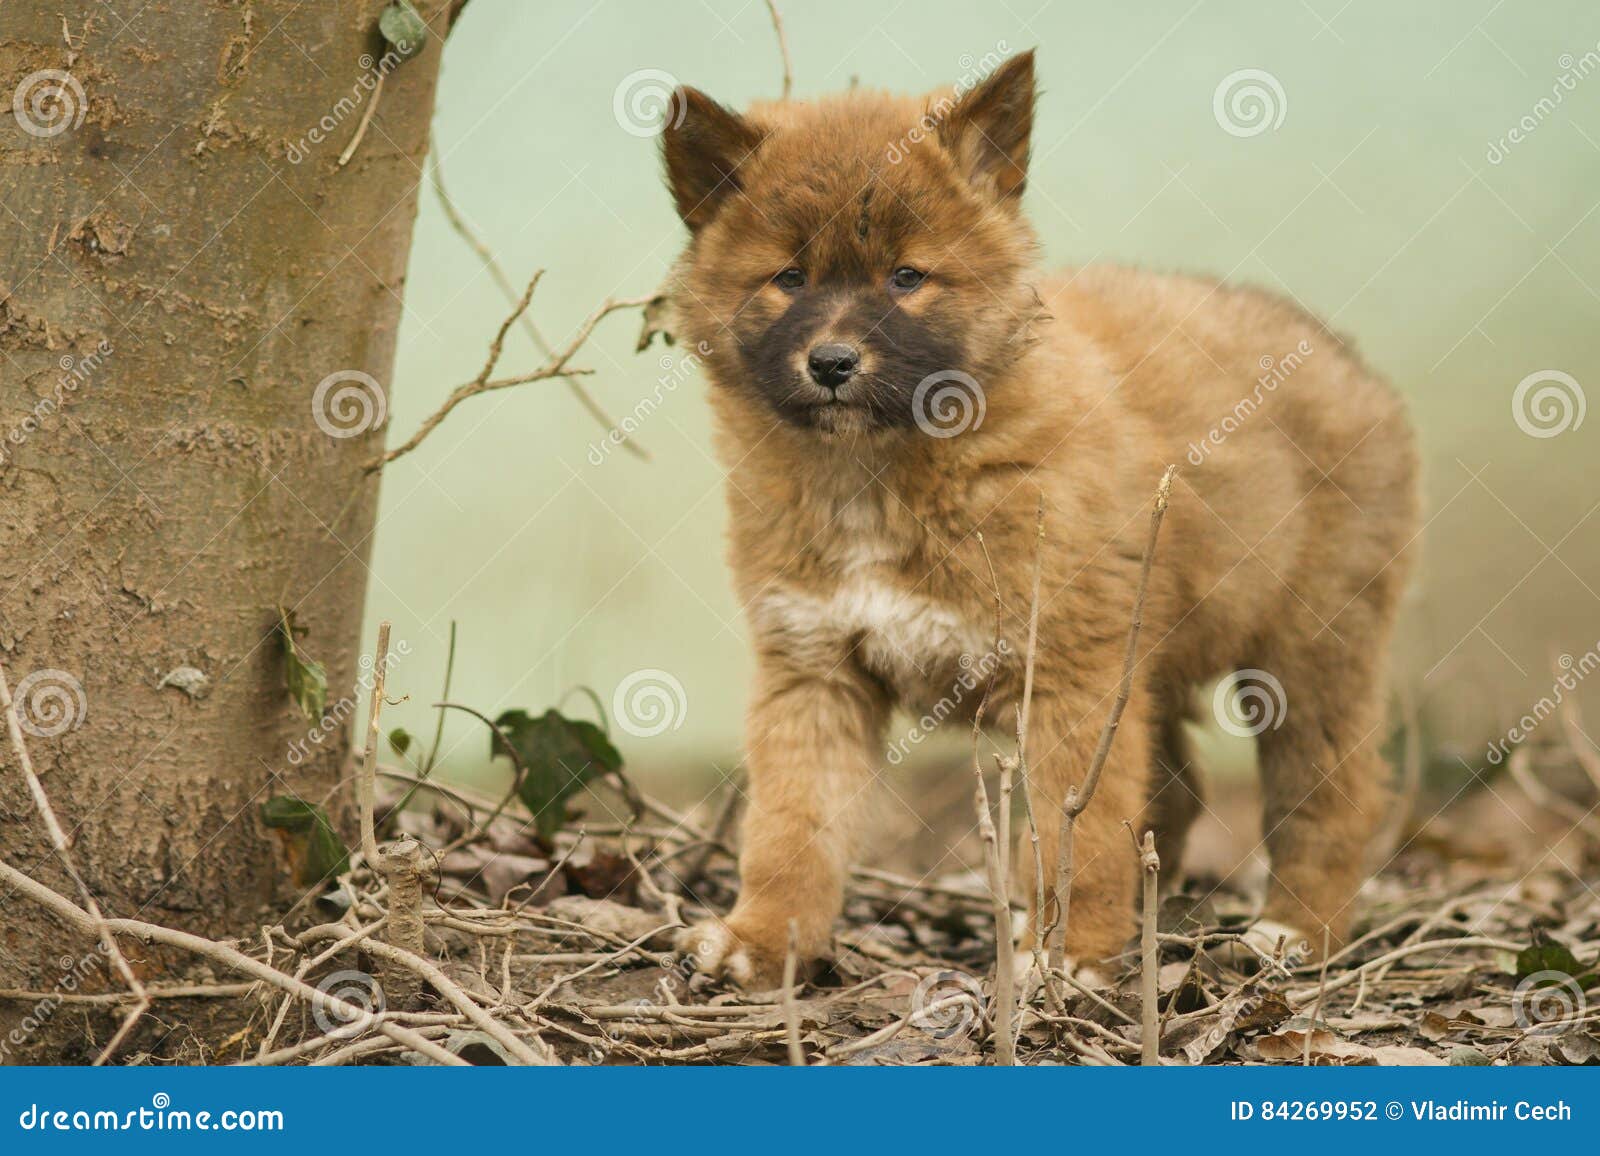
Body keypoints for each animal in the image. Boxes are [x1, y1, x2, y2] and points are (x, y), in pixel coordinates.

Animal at [656, 47, 1420, 979]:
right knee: (1175, 791)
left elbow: (1074, 831)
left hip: (1308, 659)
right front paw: (766, 940)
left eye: (906, 277)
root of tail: (1344, 357)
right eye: (788, 277)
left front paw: (1068, 957)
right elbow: (791, 829)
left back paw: (1298, 933)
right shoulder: (815, 673)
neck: (882, 473)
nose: (832, 362)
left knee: (1332, 797)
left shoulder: (1065, 676)